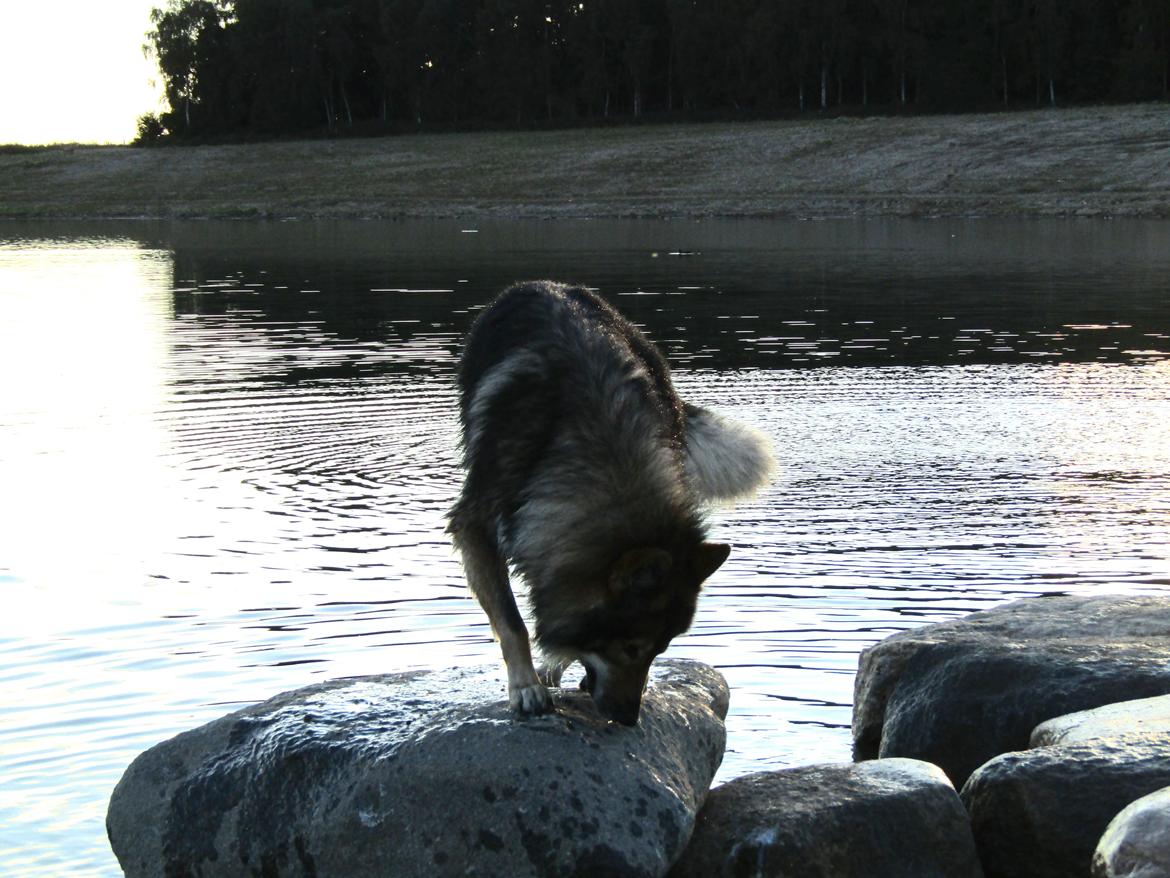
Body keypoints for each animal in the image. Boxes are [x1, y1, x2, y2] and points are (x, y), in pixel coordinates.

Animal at [444, 283, 767, 730]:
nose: (630, 719)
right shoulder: (474, 527)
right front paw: (526, 687)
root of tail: (550, 284)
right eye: (631, 647)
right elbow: (512, 623)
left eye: (660, 650)